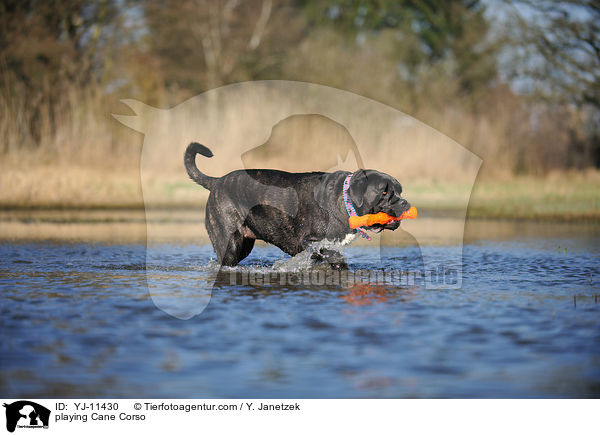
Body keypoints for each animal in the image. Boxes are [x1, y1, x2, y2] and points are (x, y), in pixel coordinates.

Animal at [184, 143, 408, 268]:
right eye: (384, 193)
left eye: (400, 190)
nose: (404, 203)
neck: (345, 202)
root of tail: (217, 182)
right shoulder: (311, 241)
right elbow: (334, 255)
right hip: (230, 243)